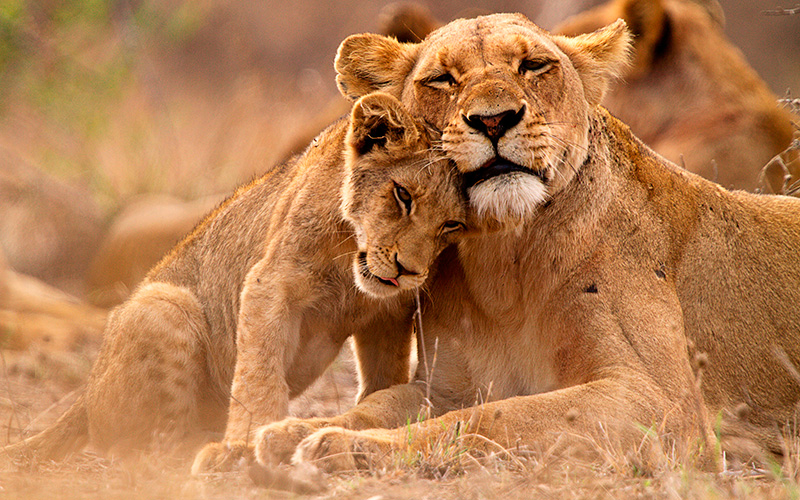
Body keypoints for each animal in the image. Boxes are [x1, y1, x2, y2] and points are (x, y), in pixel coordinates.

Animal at [252, 13, 800, 470]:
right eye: (442, 79)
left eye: (534, 65)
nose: (494, 119)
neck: (503, 261)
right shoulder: (445, 387)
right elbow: (378, 403)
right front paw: (291, 432)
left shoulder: (663, 403)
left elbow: (493, 417)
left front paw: (345, 447)